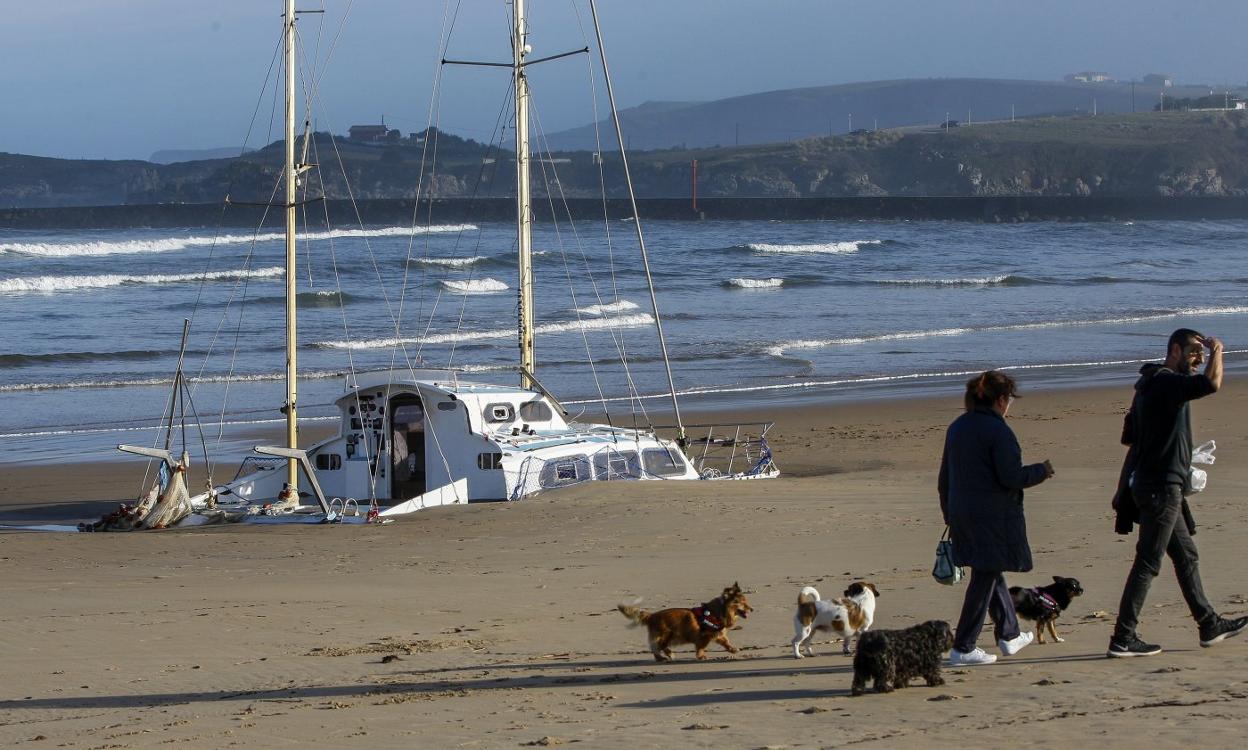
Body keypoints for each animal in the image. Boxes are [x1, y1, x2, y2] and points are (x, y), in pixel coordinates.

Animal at [619, 579, 753, 658]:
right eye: (742, 603)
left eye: (746, 602)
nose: (752, 609)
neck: (721, 610)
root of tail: (652, 615)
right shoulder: (705, 635)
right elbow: (701, 646)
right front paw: (701, 656)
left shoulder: (718, 633)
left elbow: (726, 642)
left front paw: (732, 649)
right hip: (666, 634)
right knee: (656, 646)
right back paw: (662, 657)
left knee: (658, 646)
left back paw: (667, 654)